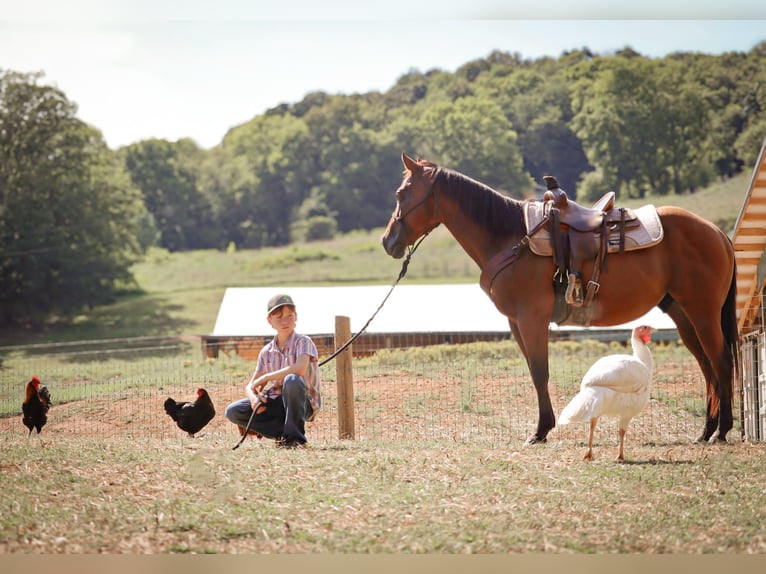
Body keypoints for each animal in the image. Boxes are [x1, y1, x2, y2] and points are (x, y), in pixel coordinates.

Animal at [381, 153, 739, 445]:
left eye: (400, 193)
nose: (387, 241)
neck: (511, 238)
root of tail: (716, 232)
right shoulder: (516, 322)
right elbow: (533, 370)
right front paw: (543, 427)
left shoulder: (532, 318)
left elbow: (541, 371)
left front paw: (541, 431)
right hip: (683, 314)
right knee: (706, 365)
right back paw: (706, 430)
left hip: (703, 312)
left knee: (720, 361)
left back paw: (721, 431)